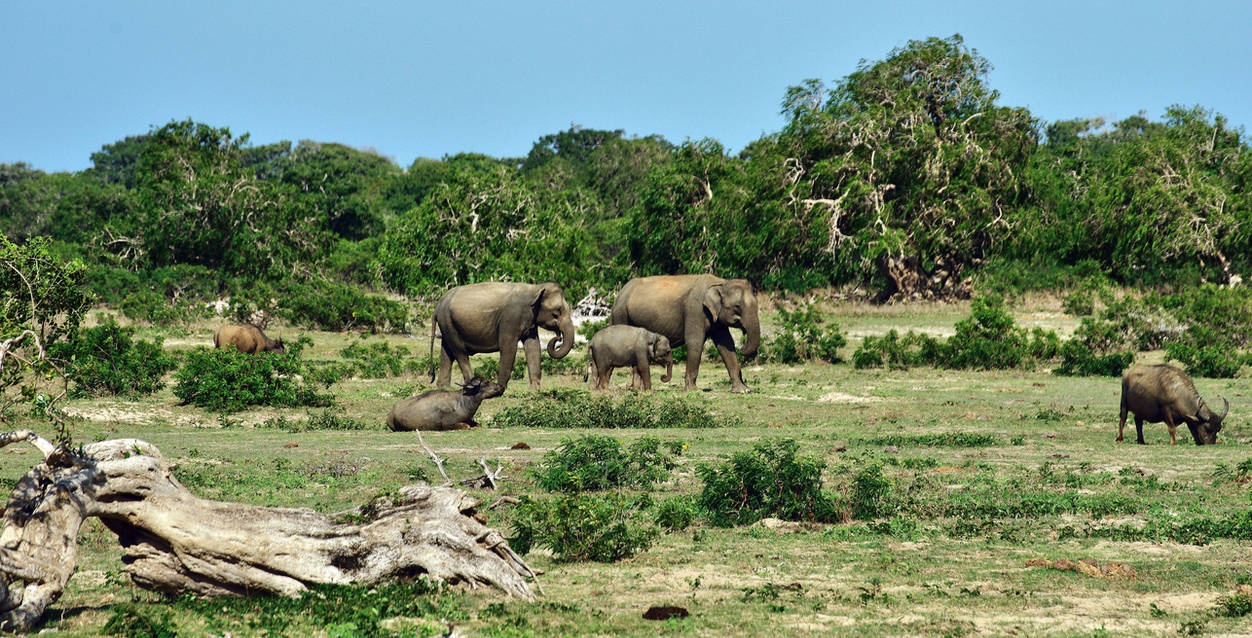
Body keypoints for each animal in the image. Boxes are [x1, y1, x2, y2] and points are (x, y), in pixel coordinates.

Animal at [425, 282, 573, 387]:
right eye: (556, 312)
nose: (558, 336)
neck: (535, 288)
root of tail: (438, 305)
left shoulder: (530, 322)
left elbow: (533, 347)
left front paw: (535, 391)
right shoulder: (510, 319)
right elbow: (508, 347)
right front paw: (499, 389)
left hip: (448, 324)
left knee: (447, 352)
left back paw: (444, 388)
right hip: (448, 322)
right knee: (460, 352)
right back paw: (473, 386)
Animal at [608, 275, 756, 390]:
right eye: (737, 307)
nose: (742, 347)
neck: (721, 282)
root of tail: (618, 294)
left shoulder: (716, 319)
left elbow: (726, 345)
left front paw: (743, 390)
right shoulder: (695, 310)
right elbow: (695, 342)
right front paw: (692, 390)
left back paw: (637, 389)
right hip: (621, 314)